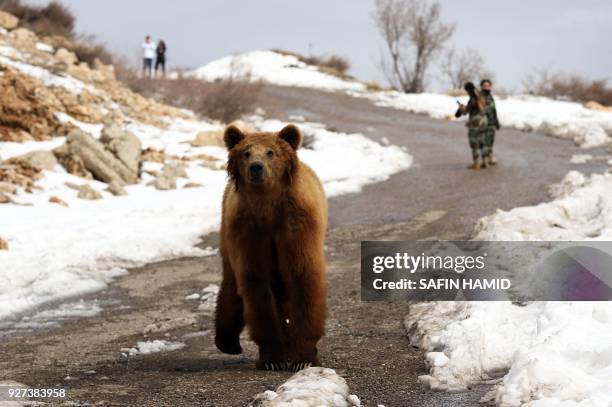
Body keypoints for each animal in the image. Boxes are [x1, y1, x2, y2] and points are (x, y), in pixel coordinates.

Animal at [216, 122, 330, 372]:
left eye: (271, 152)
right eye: (246, 152)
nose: (256, 168)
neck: (267, 207)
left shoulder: (295, 226)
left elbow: (302, 277)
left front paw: (304, 357)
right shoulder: (249, 231)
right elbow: (256, 284)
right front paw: (272, 358)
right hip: (227, 234)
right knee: (231, 282)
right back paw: (227, 341)